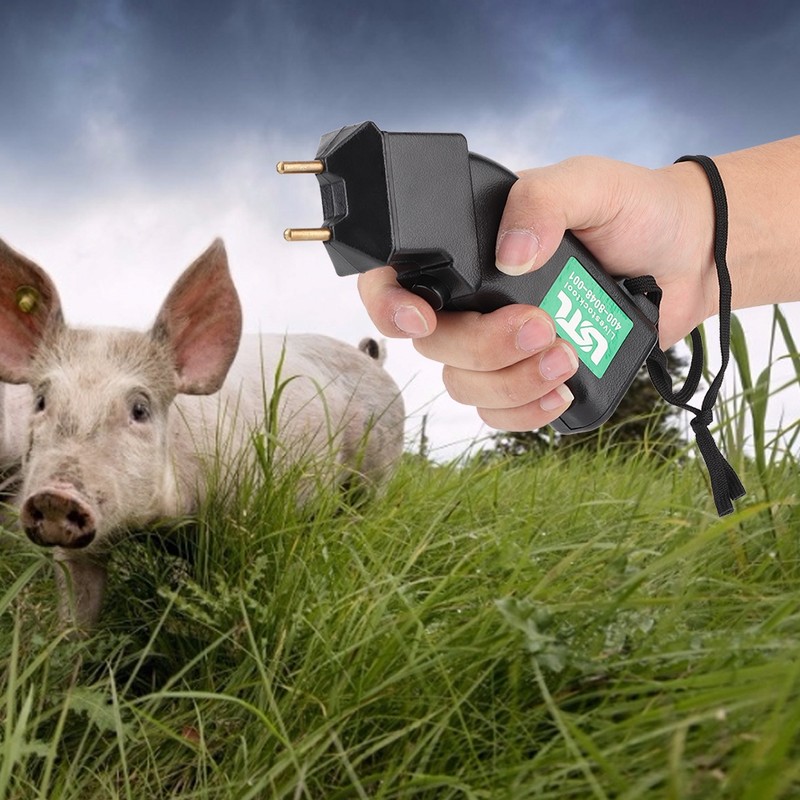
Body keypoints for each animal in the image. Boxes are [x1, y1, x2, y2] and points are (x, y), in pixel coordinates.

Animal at [0, 238, 404, 631]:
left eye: (140, 409)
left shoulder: (239, 518)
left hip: (377, 476)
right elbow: (77, 610)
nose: (56, 496)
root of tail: (374, 361)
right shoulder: (78, 548)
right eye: (41, 401)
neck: (154, 527)